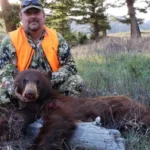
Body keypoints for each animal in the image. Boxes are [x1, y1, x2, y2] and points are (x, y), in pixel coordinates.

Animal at [0, 68, 150, 149]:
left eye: (38, 81)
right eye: (24, 80)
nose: (30, 93)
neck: (40, 102)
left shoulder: (59, 107)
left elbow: (58, 124)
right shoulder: (33, 109)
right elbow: (17, 116)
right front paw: (5, 132)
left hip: (126, 111)